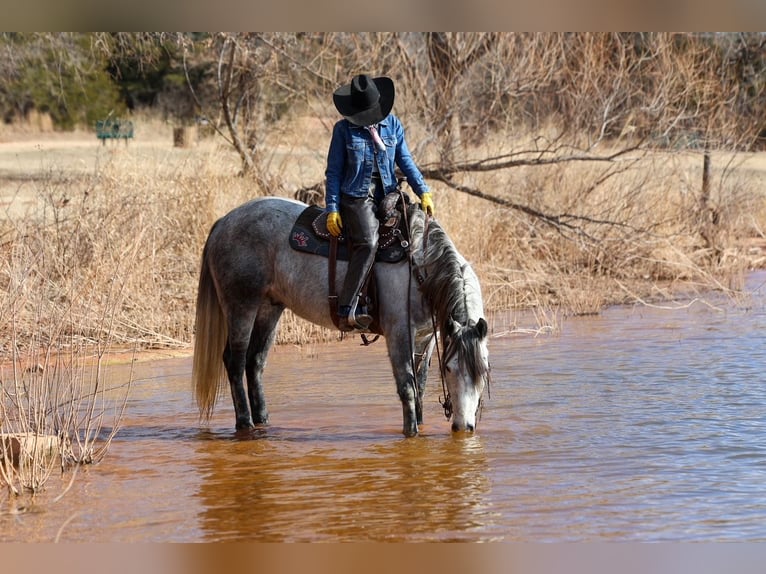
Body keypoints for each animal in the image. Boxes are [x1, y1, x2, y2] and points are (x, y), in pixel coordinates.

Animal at [191, 196, 490, 437]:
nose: (464, 427)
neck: (421, 267)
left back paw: (263, 420)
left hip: (269, 309)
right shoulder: (399, 333)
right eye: (449, 369)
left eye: (483, 371)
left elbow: (421, 386)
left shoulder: (426, 338)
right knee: (235, 361)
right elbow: (407, 387)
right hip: (241, 306)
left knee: (255, 363)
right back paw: (245, 424)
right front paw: (411, 433)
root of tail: (225, 221)